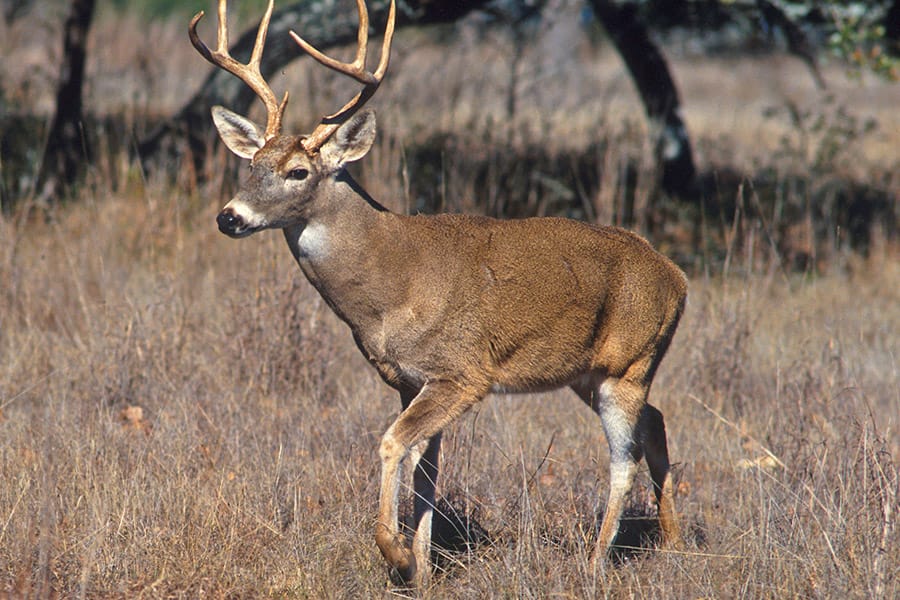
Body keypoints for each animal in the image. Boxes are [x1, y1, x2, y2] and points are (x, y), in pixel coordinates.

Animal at [190, 0, 687, 589]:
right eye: (251, 165)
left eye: (298, 171)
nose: (229, 216)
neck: (391, 286)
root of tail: (677, 277)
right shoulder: (407, 380)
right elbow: (425, 469)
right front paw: (424, 568)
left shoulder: (462, 372)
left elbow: (392, 444)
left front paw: (398, 555)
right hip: (587, 373)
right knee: (655, 422)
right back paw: (674, 543)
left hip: (629, 363)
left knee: (623, 456)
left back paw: (593, 563)